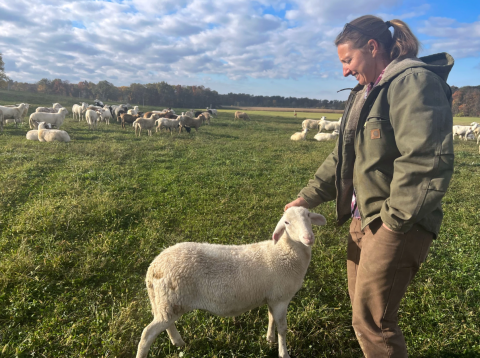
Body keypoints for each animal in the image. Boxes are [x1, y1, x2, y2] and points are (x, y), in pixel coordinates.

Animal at [137, 206, 328, 358]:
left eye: (308, 215)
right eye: (287, 222)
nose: (308, 237)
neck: (286, 252)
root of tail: (153, 267)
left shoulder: (272, 297)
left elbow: (271, 318)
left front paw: (269, 339)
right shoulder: (281, 298)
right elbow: (282, 328)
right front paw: (283, 353)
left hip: (167, 303)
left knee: (167, 325)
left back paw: (178, 343)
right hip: (171, 300)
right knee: (147, 334)